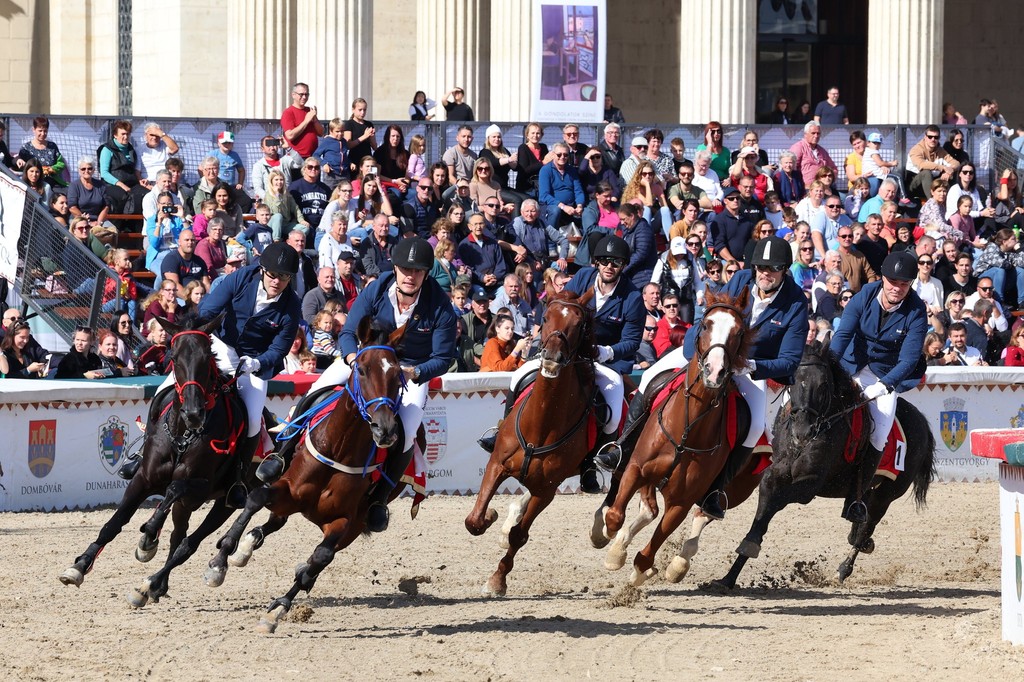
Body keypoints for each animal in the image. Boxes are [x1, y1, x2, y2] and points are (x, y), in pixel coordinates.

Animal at [58, 313, 256, 606]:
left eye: (206, 357)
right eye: (174, 357)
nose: (193, 412)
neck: (182, 434)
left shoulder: (201, 487)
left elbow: (173, 489)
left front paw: (149, 533)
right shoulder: (142, 479)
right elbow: (113, 524)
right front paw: (79, 566)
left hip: (224, 502)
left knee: (187, 543)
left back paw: (152, 583)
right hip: (188, 505)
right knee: (178, 535)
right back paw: (157, 583)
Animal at [201, 319, 405, 630]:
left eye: (397, 374)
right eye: (361, 369)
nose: (385, 429)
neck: (339, 448)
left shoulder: (345, 520)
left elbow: (322, 555)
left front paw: (279, 608)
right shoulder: (287, 488)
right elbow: (256, 498)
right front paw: (220, 560)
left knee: (316, 553)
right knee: (274, 519)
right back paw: (247, 546)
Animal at [466, 286, 598, 593]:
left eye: (579, 324)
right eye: (546, 317)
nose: (551, 356)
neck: (542, 423)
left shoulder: (545, 491)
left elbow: (519, 536)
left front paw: (497, 580)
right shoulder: (496, 465)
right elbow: (474, 520)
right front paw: (490, 516)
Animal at [720, 339, 937, 585]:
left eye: (824, 385)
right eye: (793, 382)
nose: (803, 432)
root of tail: (921, 420)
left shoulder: (809, 485)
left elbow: (775, 502)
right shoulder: (775, 475)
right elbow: (763, 509)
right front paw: (729, 577)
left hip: (887, 494)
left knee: (866, 527)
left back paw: (845, 567)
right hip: (869, 490)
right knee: (860, 522)